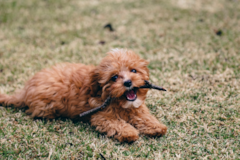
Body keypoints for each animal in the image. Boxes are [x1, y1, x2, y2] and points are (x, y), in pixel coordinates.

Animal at [0, 49, 167, 142]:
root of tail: (25, 90)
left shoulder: (137, 108)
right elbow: (117, 124)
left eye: (133, 71)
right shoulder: (101, 116)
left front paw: (156, 126)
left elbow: (144, 116)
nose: (127, 82)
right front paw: (129, 133)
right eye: (114, 77)